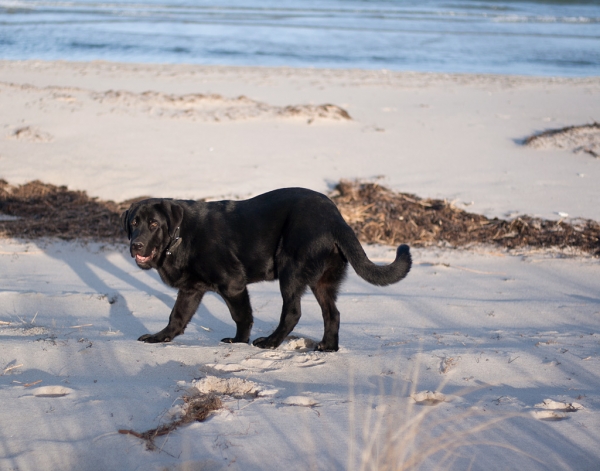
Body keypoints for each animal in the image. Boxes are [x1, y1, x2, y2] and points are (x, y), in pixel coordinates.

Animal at [122, 188, 412, 350]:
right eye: (134, 222)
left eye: (154, 224)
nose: (136, 245)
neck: (180, 237)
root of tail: (336, 218)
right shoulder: (191, 289)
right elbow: (177, 317)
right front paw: (160, 337)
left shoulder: (233, 283)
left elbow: (241, 316)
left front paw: (240, 342)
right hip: (321, 282)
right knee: (333, 314)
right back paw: (328, 347)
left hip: (290, 269)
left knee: (293, 312)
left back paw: (270, 342)